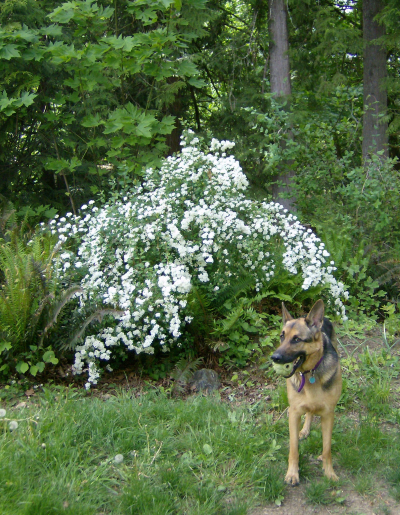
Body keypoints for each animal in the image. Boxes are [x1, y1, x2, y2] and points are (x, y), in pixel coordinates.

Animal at [270, 300, 342, 486]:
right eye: (282, 336)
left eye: (296, 339)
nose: (274, 357)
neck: (310, 373)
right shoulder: (294, 413)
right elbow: (293, 449)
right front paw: (292, 473)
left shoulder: (328, 414)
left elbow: (327, 448)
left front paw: (329, 472)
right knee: (309, 411)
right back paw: (305, 430)